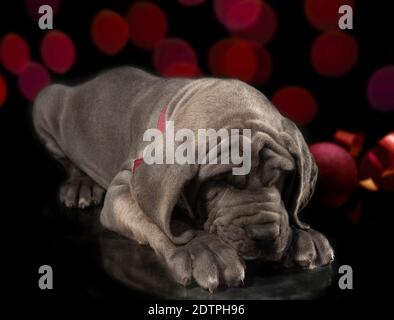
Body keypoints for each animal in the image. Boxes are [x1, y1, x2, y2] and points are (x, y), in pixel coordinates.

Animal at [33, 67, 332, 292]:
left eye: (283, 176)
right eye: (219, 182)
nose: (265, 236)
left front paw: (302, 235)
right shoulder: (122, 190)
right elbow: (159, 220)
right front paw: (202, 250)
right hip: (47, 101)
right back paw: (80, 186)